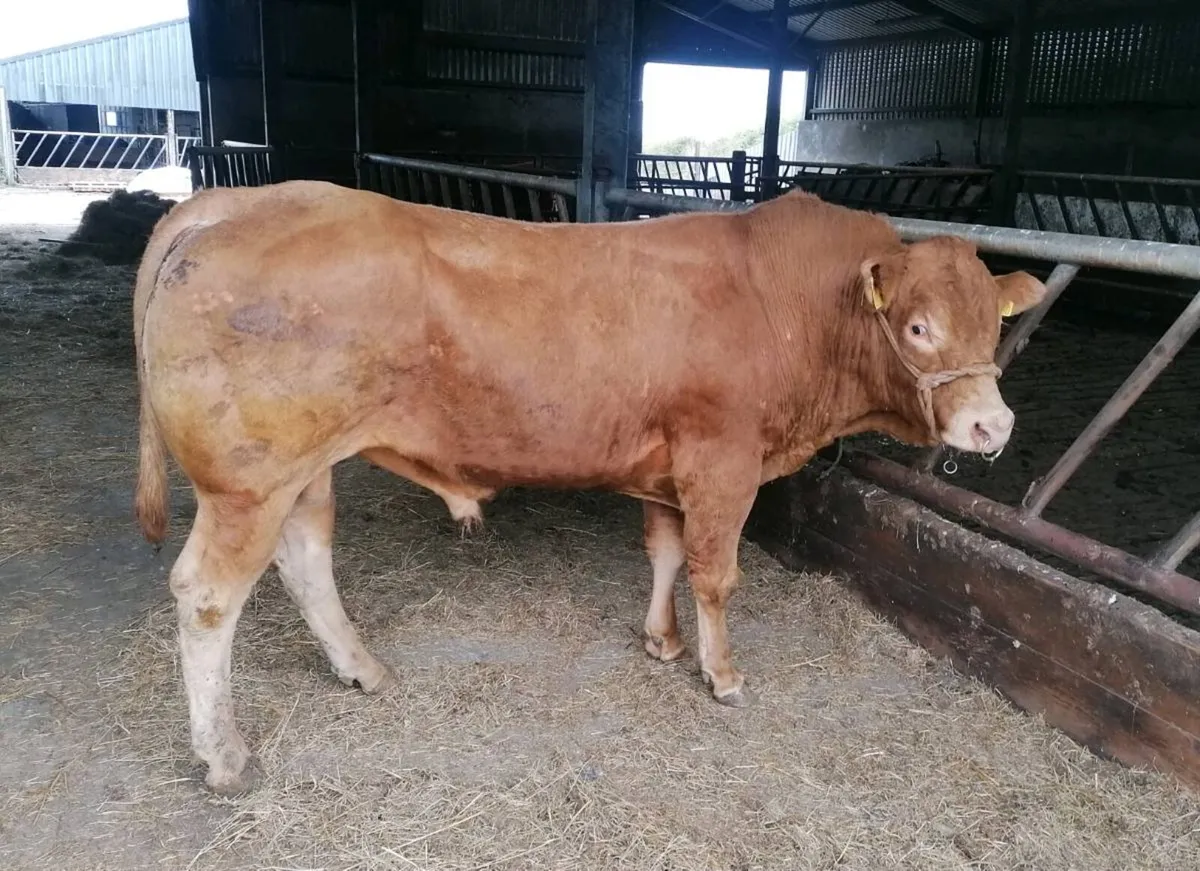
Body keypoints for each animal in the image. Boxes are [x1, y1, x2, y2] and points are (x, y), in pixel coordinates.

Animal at [131, 181, 1045, 794]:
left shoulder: (671, 468)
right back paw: (224, 755)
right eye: (919, 326)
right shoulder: (723, 461)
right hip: (245, 484)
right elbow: (716, 573)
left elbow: (665, 554)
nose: (991, 426)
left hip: (301, 468)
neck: (784, 300)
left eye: (993, 324)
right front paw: (721, 673)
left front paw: (661, 641)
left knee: (306, 558)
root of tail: (242, 198)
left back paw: (361, 667)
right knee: (208, 596)